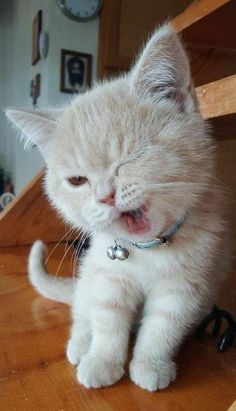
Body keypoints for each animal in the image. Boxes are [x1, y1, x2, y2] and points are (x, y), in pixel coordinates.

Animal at [5, 24, 228, 392]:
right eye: (78, 180)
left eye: (132, 158)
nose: (105, 196)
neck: (149, 251)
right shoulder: (107, 275)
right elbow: (108, 320)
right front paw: (103, 361)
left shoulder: (185, 286)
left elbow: (163, 325)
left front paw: (151, 364)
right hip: (88, 275)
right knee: (83, 310)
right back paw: (81, 344)